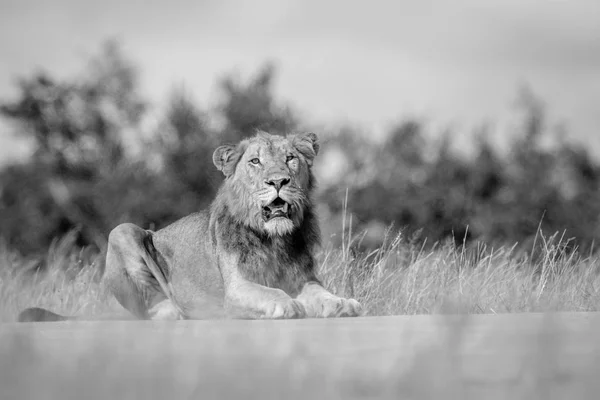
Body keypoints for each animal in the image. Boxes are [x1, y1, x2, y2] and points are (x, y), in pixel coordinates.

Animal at [18, 131, 364, 322]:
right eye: (255, 161)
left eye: (291, 158)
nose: (279, 181)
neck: (273, 239)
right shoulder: (236, 289)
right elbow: (271, 292)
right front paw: (287, 304)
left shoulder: (305, 279)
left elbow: (322, 294)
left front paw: (341, 303)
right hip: (123, 231)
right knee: (148, 309)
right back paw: (175, 311)